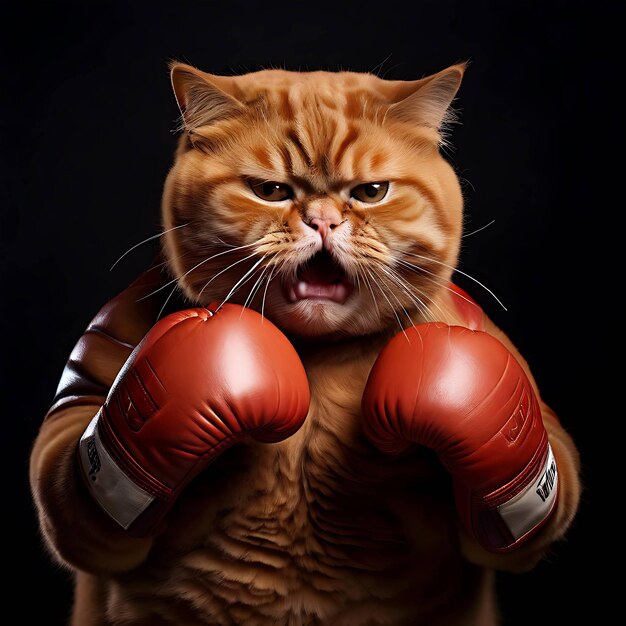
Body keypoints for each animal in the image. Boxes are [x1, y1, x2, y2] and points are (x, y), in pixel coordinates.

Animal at [28, 61, 576, 620]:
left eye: (371, 192)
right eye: (271, 191)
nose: (323, 221)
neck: (316, 359)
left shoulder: (491, 346)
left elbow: (520, 512)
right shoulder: (111, 337)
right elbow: (74, 494)